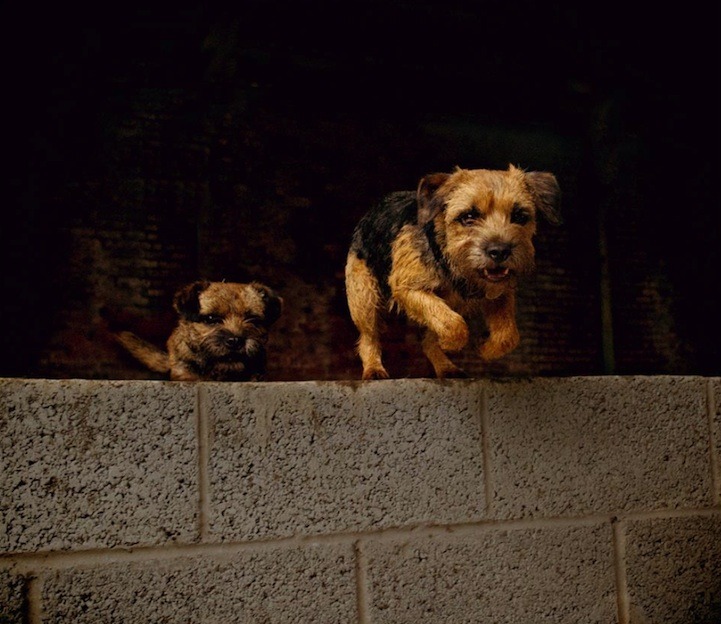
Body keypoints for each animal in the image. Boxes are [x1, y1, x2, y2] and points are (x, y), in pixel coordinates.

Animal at [344, 165, 564, 380]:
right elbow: (453, 324)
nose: (500, 251)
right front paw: (450, 344)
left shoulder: (500, 294)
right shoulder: (407, 288)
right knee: (369, 335)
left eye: (519, 216)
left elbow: (508, 335)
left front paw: (485, 349)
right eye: (468, 217)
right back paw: (374, 369)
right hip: (363, 297)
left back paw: (446, 368)